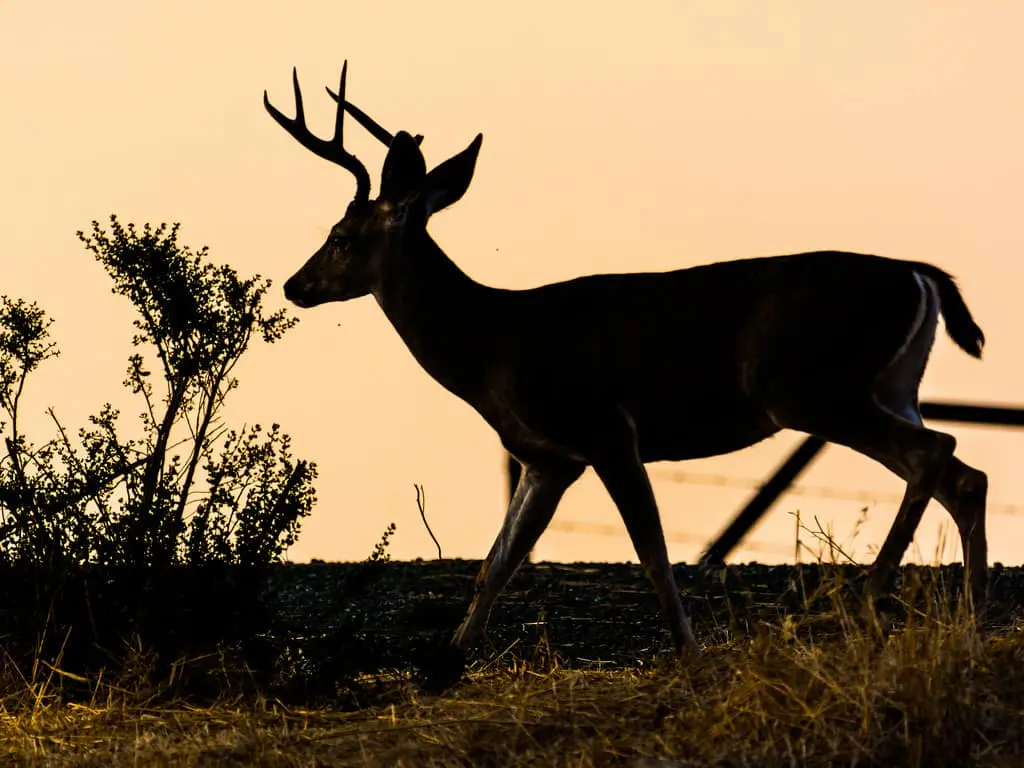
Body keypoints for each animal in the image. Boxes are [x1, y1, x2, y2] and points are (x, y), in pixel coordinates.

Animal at [264, 62, 988, 689]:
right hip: (889, 387)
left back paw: (873, 605)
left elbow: (653, 554)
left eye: (339, 236)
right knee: (963, 473)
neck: (493, 341)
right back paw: (972, 622)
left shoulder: (606, 431)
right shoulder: (548, 458)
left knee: (938, 454)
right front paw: (443, 666)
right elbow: (495, 563)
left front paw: (691, 654)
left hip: (812, 387)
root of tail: (922, 275)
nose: (295, 284)